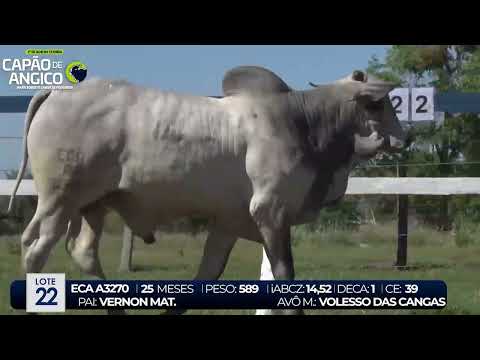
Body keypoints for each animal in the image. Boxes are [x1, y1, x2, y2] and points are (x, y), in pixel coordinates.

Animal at [9, 66, 404, 314]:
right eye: (377, 103)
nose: (404, 138)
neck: (304, 122)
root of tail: (56, 92)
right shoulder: (271, 213)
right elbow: (284, 277)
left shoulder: (230, 223)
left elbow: (207, 274)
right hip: (59, 200)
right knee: (35, 249)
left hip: (94, 205)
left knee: (82, 251)